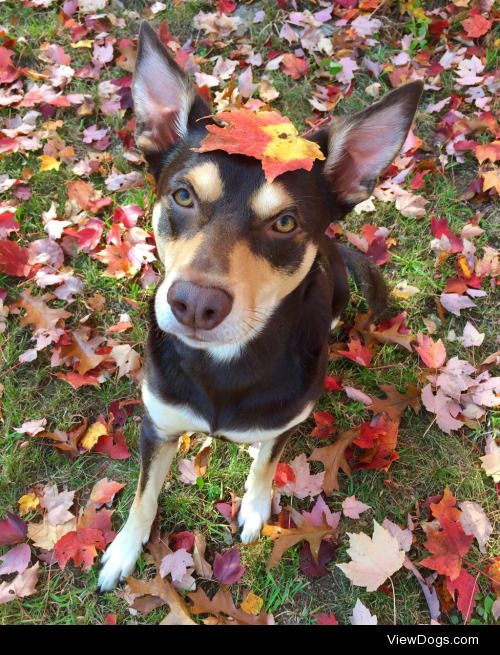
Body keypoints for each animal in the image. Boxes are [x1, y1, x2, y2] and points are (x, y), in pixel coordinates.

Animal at [97, 21, 422, 596]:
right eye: (182, 195)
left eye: (285, 223)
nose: (194, 305)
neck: (223, 368)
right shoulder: (157, 426)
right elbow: (142, 496)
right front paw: (124, 549)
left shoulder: (285, 423)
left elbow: (267, 463)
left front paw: (253, 506)